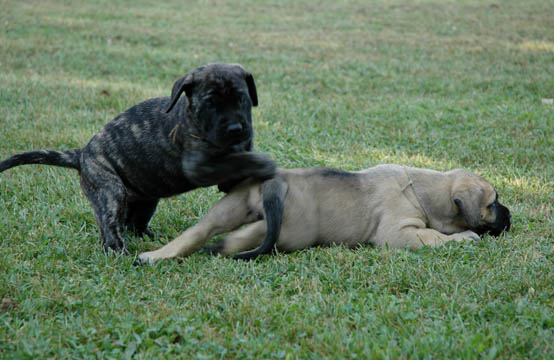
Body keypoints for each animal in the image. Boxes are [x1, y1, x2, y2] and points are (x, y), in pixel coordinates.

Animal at [0, 62, 274, 253]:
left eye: (242, 98)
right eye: (210, 104)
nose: (235, 129)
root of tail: (82, 154)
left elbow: (238, 161)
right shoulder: (199, 166)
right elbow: (239, 161)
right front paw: (265, 163)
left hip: (146, 199)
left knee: (134, 223)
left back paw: (148, 236)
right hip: (109, 192)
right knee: (111, 226)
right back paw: (117, 251)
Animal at [137, 165, 508, 262]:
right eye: (493, 203)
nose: (511, 215)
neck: (425, 189)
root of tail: (275, 184)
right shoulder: (400, 233)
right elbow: (435, 235)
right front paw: (465, 237)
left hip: (231, 207)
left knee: (200, 232)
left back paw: (154, 256)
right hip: (292, 231)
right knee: (250, 238)